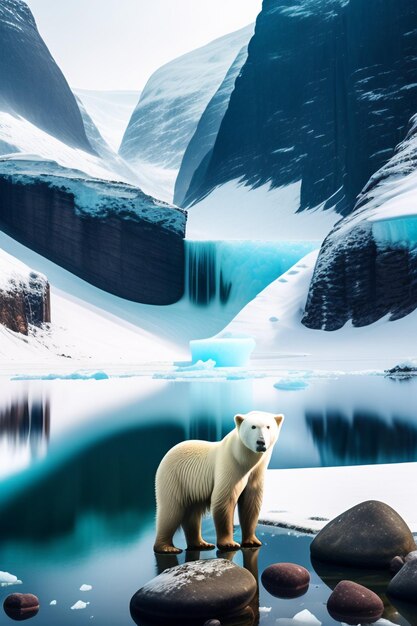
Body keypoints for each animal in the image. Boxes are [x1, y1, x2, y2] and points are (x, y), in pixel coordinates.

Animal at [153, 410, 282, 552]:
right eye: (253, 426)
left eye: (268, 427)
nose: (261, 442)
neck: (243, 460)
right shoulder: (230, 467)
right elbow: (224, 499)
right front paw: (229, 544)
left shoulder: (256, 473)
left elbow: (251, 502)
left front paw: (252, 541)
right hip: (174, 478)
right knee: (171, 511)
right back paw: (167, 547)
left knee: (193, 513)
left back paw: (201, 544)